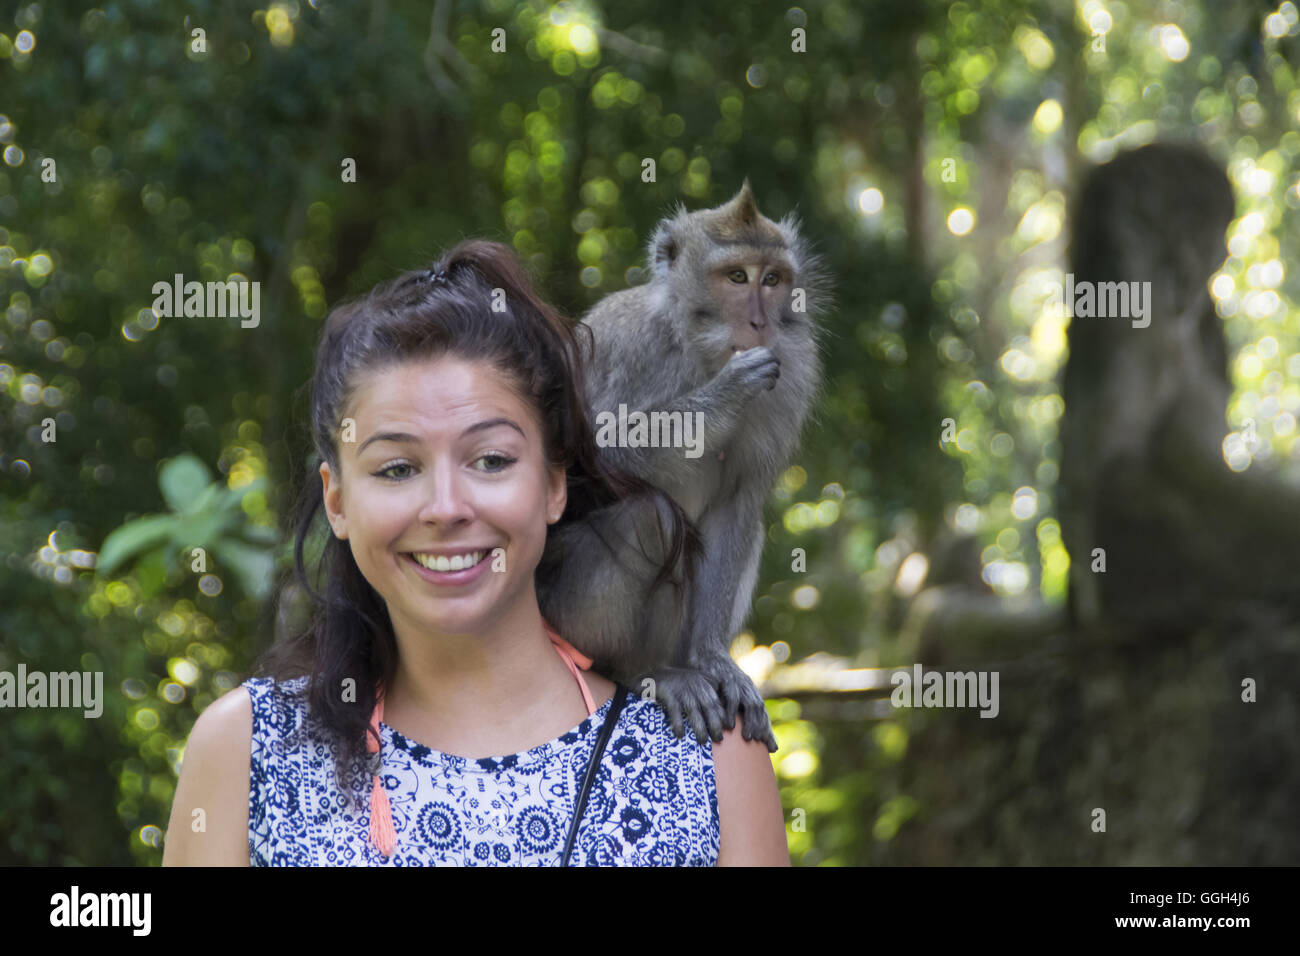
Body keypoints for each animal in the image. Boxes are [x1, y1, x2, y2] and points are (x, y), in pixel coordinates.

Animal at [537, 181, 829, 753]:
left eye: (773, 279)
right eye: (736, 277)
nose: (760, 322)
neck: (699, 351)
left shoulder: (792, 372)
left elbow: (738, 503)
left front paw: (715, 661)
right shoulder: (627, 346)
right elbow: (577, 469)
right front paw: (723, 398)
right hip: (554, 615)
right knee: (651, 520)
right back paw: (641, 671)